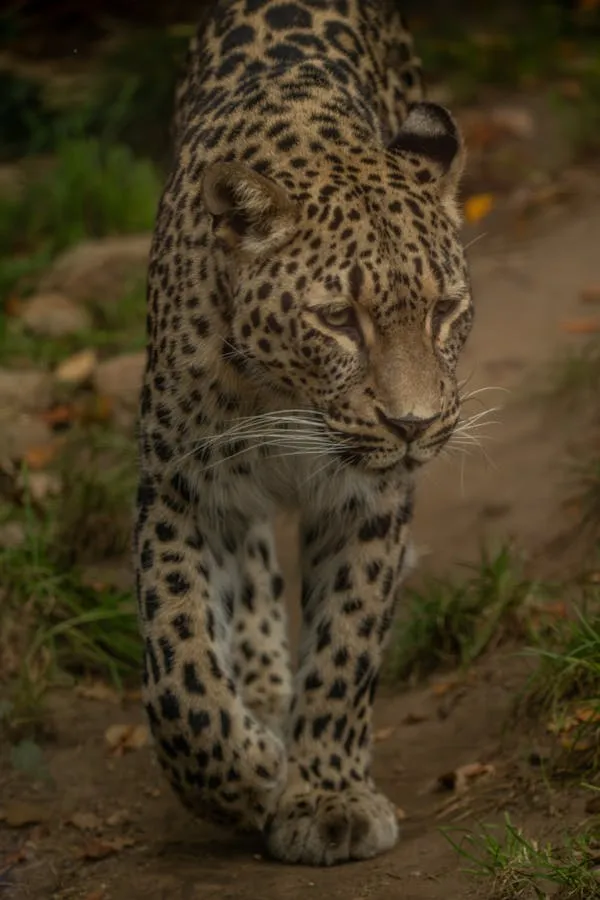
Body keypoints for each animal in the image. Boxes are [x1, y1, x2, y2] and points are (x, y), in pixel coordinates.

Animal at [134, 0, 473, 867]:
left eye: (444, 310)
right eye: (338, 319)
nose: (415, 424)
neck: (286, 396)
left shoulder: (370, 498)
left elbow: (348, 642)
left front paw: (325, 797)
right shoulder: (177, 482)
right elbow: (178, 659)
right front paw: (247, 772)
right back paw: (257, 683)